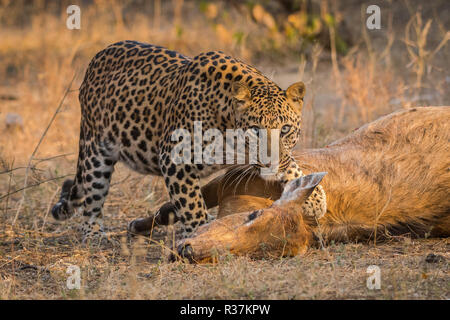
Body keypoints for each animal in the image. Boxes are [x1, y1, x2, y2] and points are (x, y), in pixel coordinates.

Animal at [51, 40, 326, 241]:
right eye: (255, 130)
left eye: (285, 129)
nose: (270, 164)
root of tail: (96, 58)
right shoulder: (174, 158)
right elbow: (191, 204)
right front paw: (200, 233)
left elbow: (291, 165)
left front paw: (315, 198)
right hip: (95, 151)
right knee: (92, 196)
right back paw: (94, 234)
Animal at [128, 106, 448, 262]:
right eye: (252, 215)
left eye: (261, 252)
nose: (188, 250)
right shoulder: (230, 177)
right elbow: (168, 209)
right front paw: (136, 226)